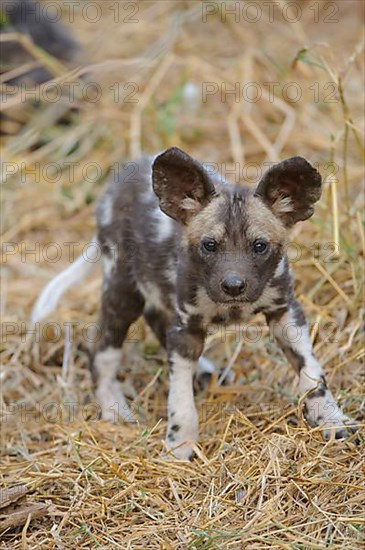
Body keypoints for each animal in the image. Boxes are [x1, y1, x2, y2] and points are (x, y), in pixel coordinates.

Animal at [31, 148, 356, 462]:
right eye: (209, 245)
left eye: (260, 246)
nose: (233, 286)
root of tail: (117, 185)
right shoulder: (186, 329)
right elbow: (180, 400)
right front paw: (179, 447)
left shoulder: (285, 313)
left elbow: (312, 374)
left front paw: (331, 420)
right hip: (123, 291)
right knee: (101, 350)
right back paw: (115, 410)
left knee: (155, 320)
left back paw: (205, 372)